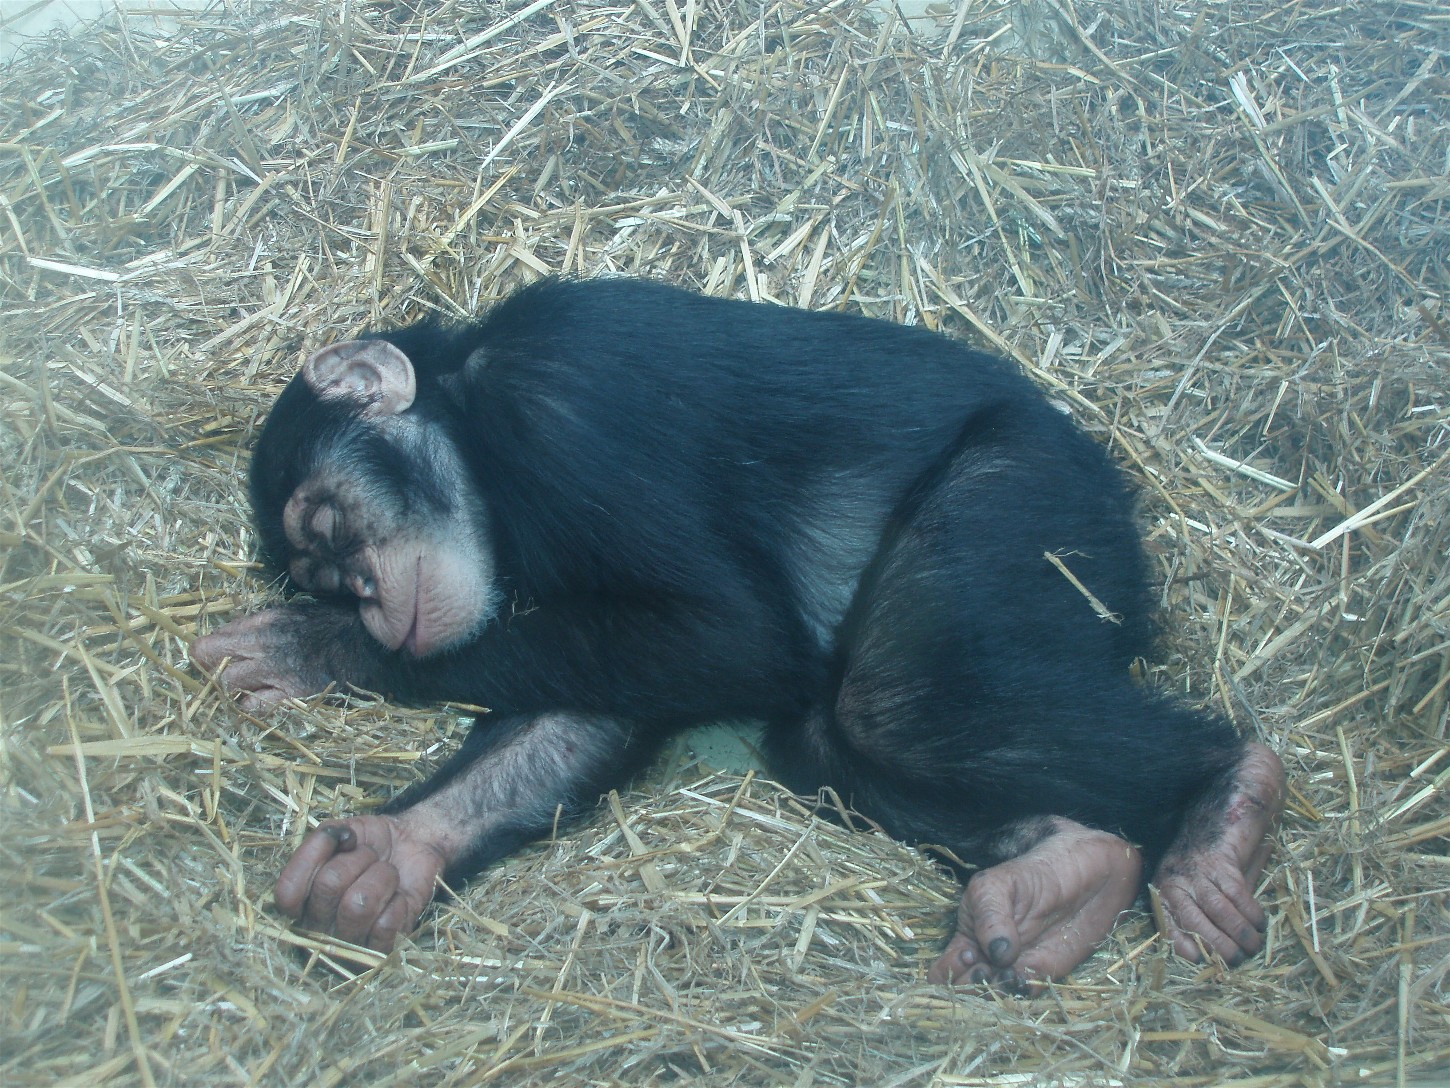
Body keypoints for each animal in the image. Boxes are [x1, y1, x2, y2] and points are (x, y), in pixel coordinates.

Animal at [192, 276, 1284, 988]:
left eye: (328, 533)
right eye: (326, 575)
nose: (366, 600)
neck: (479, 443)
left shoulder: (566, 409)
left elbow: (730, 631)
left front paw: (311, 651)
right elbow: (582, 712)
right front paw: (387, 852)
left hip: (1038, 508)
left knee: (896, 704)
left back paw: (1222, 796)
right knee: (828, 737)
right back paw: (1068, 876)